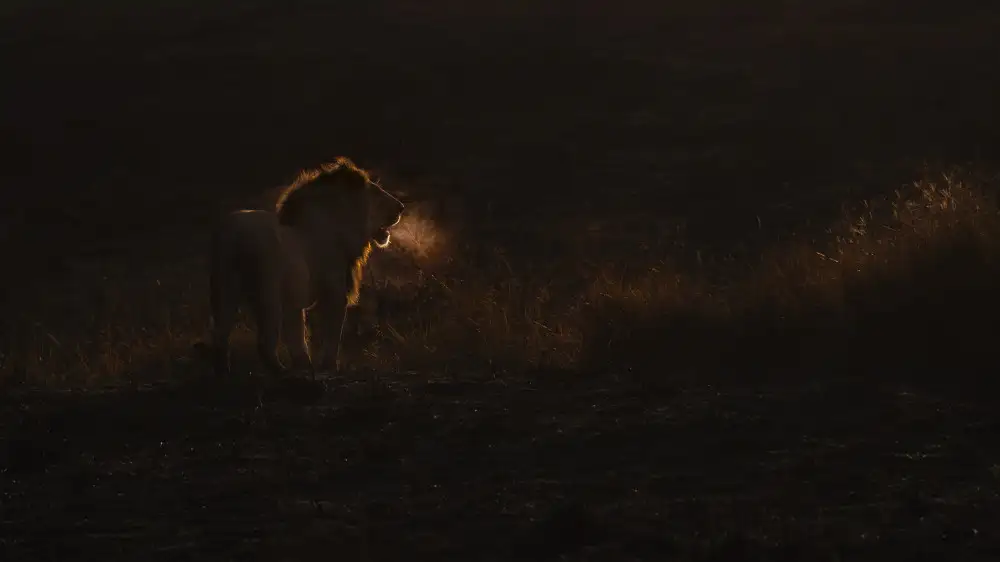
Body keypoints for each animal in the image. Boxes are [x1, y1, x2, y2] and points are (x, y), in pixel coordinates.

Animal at [209, 157, 404, 377]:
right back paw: (284, 375)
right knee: (265, 344)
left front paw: (305, 365)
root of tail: (235, 235)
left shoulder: (293, 302)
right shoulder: (334, 293)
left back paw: (224, 374)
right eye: (377, 193)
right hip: (268, 294)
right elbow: (332, 335)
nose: (401, 207)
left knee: (220, 338)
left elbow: (297, 337)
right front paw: (328, 367)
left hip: (224, 291)